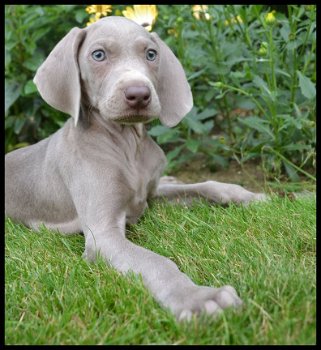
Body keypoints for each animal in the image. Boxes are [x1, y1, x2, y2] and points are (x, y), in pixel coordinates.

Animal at [5, 17, 264, 322]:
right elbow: (157, 262)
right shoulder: (103, 235)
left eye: (151, 54)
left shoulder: (148, 195)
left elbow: (206, 185)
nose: (139, 94)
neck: (128, 145)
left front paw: (249, 196)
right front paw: (198, 298)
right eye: (98, 55)